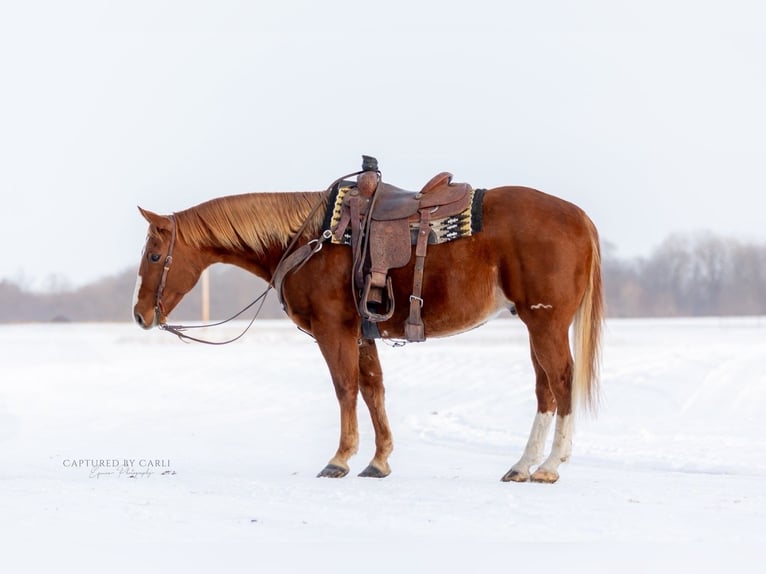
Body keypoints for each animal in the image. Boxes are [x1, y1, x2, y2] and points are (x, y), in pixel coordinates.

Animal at [132, 169, 603, 483]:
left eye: (154, 256)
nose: (140, 315)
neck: (310, 238)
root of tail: (579, 216)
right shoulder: (362, 334)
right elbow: (373, 389)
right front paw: (379, 461)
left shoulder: (333, 330)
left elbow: (346, 388)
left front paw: (340, 459)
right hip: (534, 324)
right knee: (545, 389)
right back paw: (522, 466)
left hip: (546, 322)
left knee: (561, 380)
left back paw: (549, 466)